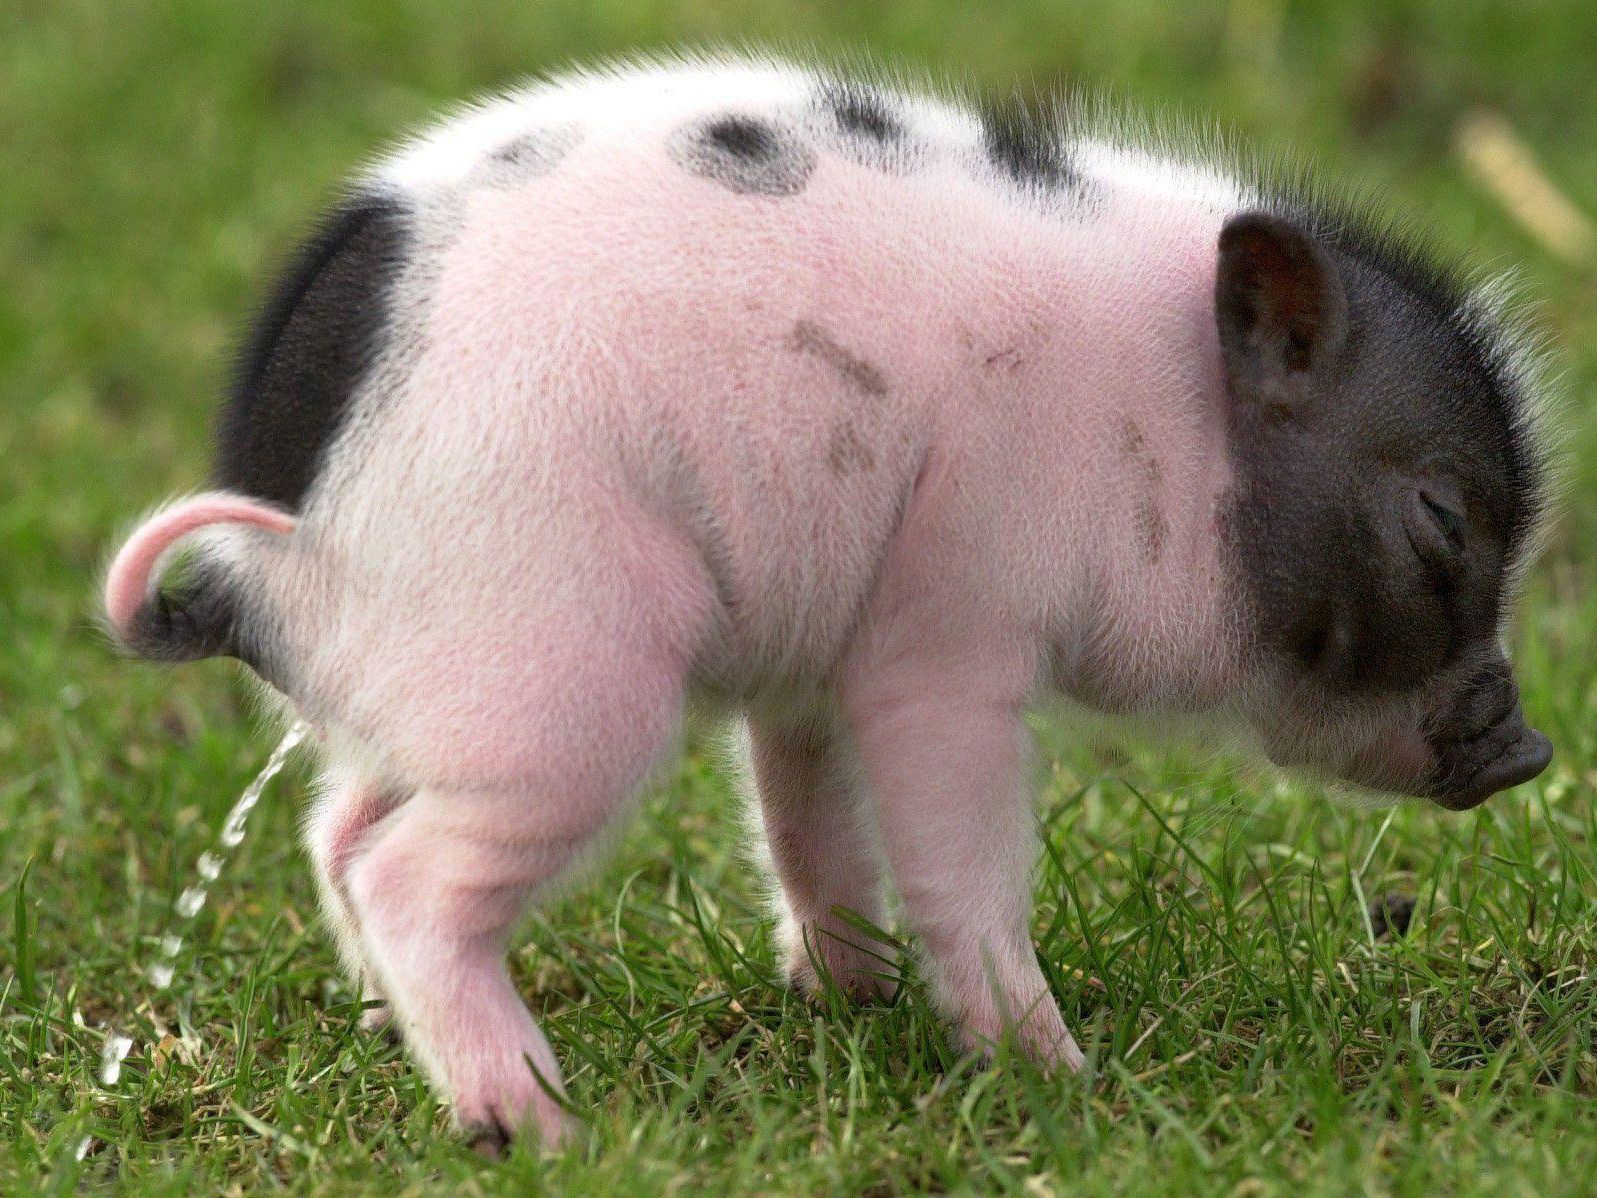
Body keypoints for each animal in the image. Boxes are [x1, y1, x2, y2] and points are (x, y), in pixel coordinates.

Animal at [103, 55, 1555, 1150]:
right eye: (1439, 520)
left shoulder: (813, 656)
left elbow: (811, 818)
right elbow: (960, 851)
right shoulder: (949, 620)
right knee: (405, 874)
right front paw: (1059, 1081)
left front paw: (854, 998)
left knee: (338, 830)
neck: (1162, 429)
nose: (1528, 744)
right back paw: (544, 1129)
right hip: (563, 677)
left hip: (431, 691)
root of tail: (276, 540)